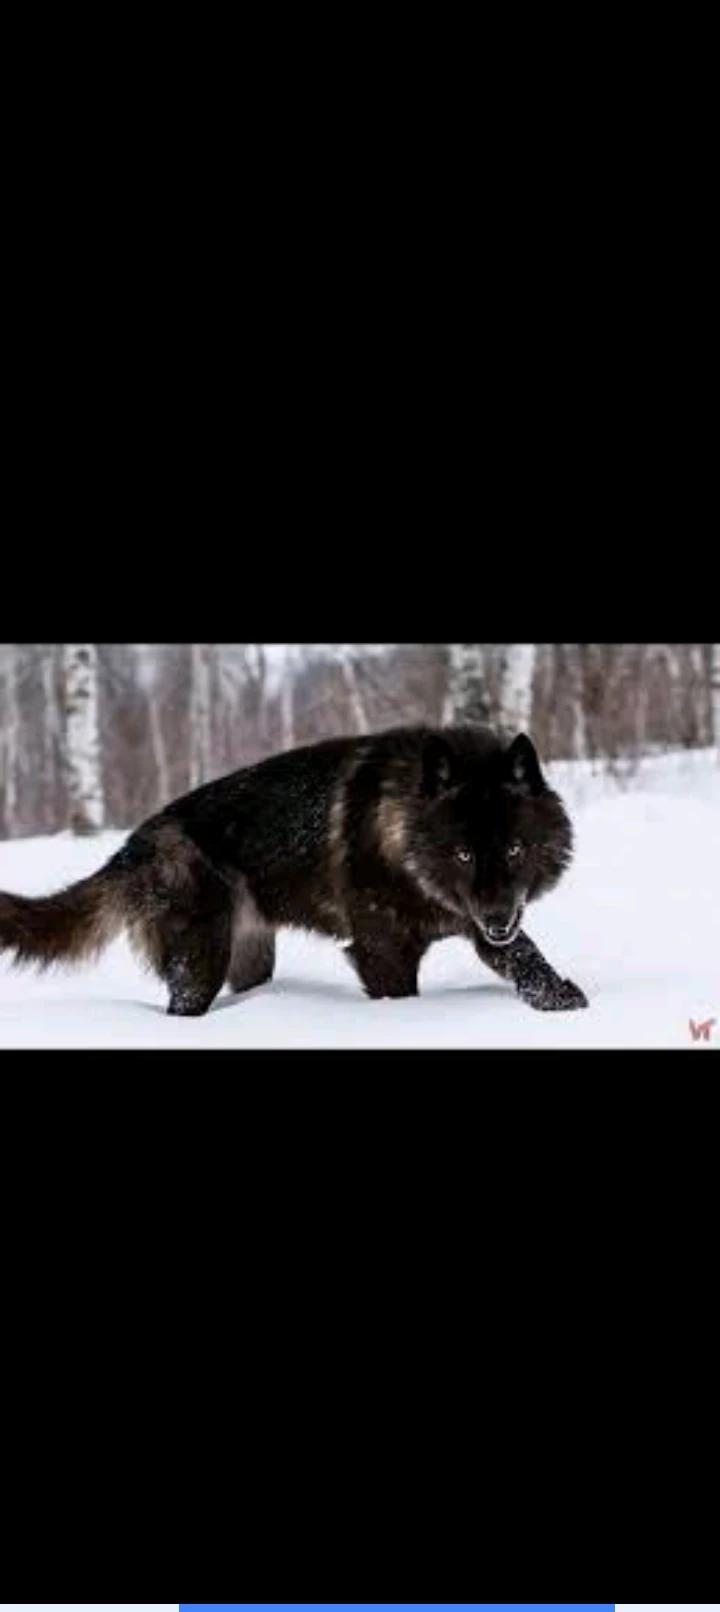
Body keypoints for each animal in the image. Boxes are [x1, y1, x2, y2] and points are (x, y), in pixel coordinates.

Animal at [0, 726, 588, 1016]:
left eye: (515, 849)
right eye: (462, 854)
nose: (496, 919)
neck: (402, 835)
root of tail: (131, 844)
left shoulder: (484, 926)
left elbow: (527, 957)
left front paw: (560, 1000)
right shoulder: (381, 952)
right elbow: (402, 999)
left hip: (252, 958)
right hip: (200, 962)